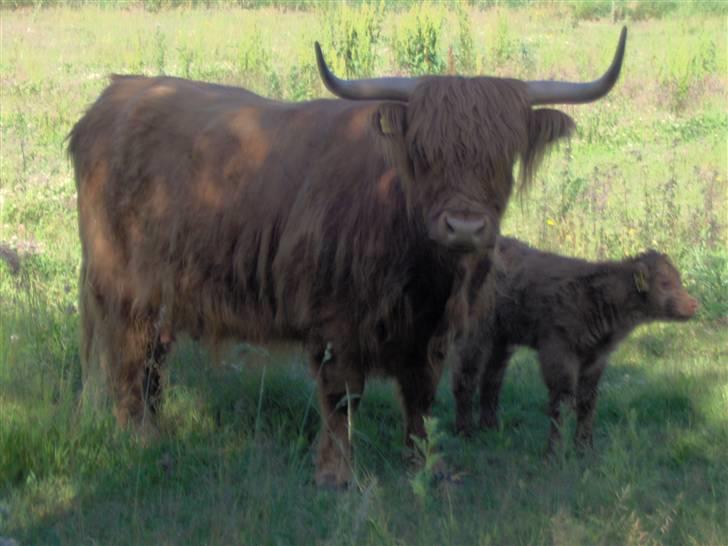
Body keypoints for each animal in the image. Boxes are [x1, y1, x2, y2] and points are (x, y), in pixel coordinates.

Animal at [68, 28, 627, 488]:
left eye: (502, 156)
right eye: (423, 153)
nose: (465, 227)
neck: (425, 272)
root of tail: (116, 95)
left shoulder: (431, 332)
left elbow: (421, 397)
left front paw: (422, 466)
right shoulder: (335, 320)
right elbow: (343, 398)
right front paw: (336, 475)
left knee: (152, 360)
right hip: (122, 285)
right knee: (129, 357)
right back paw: (138, 437)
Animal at [453, 236, 699, 451]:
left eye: (679, 279)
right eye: (665, 283)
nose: (693, 304)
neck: (598, 298)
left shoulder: (595, 358)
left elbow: (587, 402)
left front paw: (584, 448)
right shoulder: (558, 354)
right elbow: (561, 402)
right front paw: (554, 451)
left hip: (502, 340)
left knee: (492, 379)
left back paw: (491, 428)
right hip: (475, 336)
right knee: (466, 378)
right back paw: (466, 433)